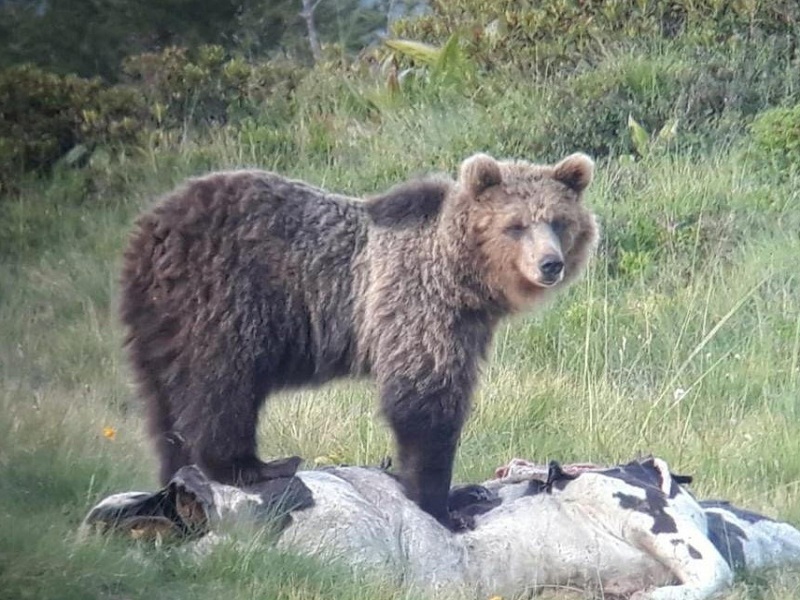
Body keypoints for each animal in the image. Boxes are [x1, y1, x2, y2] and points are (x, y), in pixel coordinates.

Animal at [119, 152, 599, 529]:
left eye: (558, 222)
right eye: (515, 226)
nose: (550, 264)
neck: (463, 277)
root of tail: (151, 230)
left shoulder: (468, 323)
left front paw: (460, 494)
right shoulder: (417, 303)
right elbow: (424, 399)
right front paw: (441, 505)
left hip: (159, 322)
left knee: (164, 403)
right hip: (225, 298)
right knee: (222, 383)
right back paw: (252, 466)